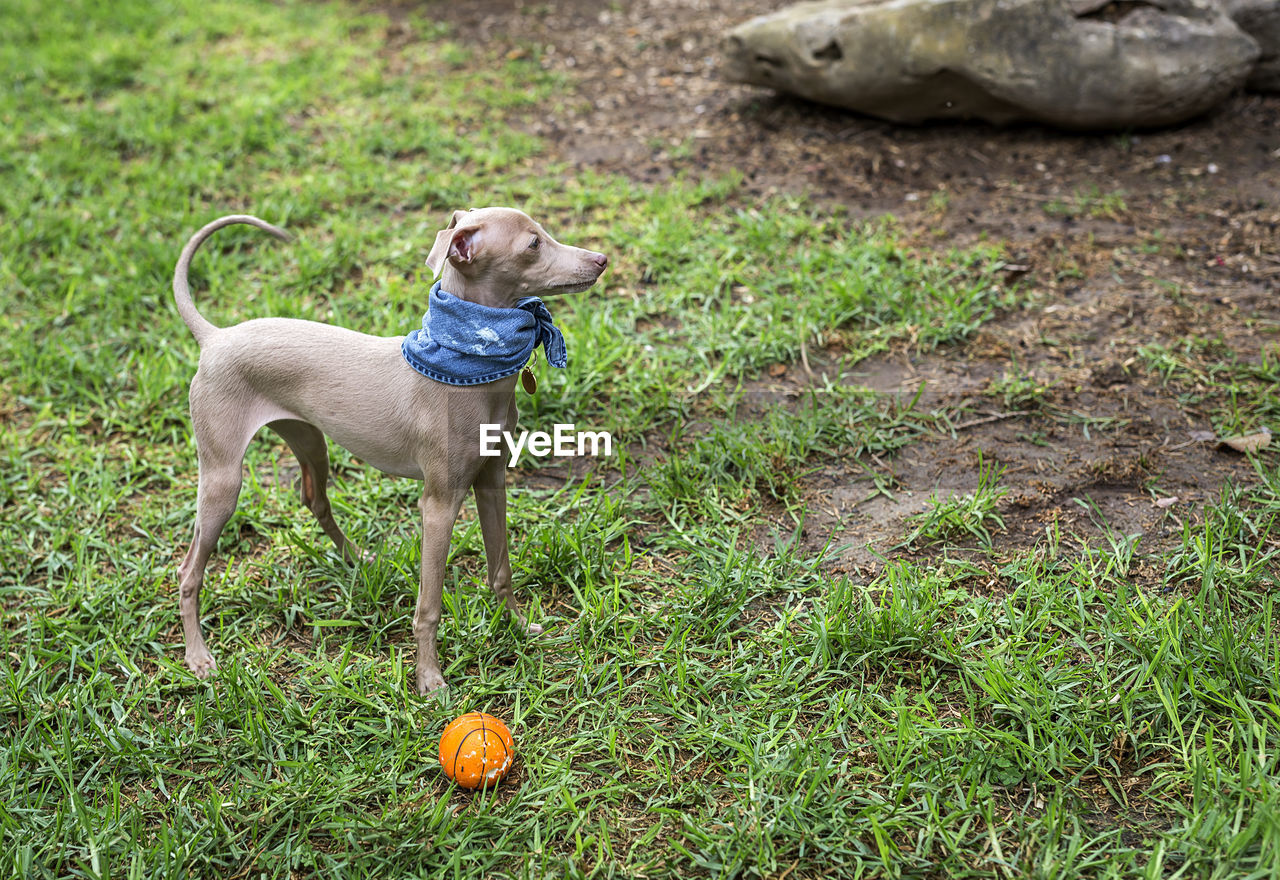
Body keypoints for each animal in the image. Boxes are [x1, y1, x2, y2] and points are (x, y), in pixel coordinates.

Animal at [172, 209, 606, 690]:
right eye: (533, 244)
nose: (601, 259)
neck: (467, 368)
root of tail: (214, 337)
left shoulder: (491, 482)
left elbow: (501, 570)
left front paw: (517, 627)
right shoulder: (438, 504)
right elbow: (429, 605)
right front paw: (430, 679)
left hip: (309, 439)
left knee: (314, 497)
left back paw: (356, 558)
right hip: (223, 480)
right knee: (188, 571)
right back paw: (198, 657)